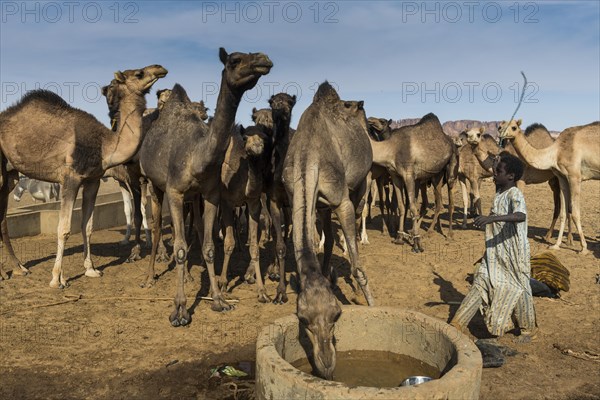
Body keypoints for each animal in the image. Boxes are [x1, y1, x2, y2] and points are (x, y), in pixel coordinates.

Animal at [0, 65, 166, 284]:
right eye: (139, 73)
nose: (160, 69)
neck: (105, 145)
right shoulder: (70, 178)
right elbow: (63, 229)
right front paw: (57, 278)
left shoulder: (92, 180)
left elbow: (87, 226)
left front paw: (91, 269)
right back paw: (7, 272)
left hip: (9, 176)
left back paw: (18, 268)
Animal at [138, 48, 272, 326]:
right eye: (235, 60)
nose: (263, 59)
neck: (197, 156)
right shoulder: (175, 193)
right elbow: (179, 247)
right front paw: (179, 310)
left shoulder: (210, 195)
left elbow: (210, 246)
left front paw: (219, 299)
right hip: (155, 185)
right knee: (156, 227)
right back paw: (149, 277)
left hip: (195, 197)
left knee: (198, 229)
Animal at [282, 82, 376, 382]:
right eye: (302, 319)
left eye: (337, 315)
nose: (326, 366)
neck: (307, 156)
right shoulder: (299, 198)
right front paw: (328, 278)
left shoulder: (341, 200)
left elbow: (358, 268)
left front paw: (373, 305)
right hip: (321, 205)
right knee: (331, 238)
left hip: (363, 180)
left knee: (359, 211)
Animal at [370, 113, 454, 250]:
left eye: (382, 121)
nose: (370, 119)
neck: (392, 149)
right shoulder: (395, 176)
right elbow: (401, 206)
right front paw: (399, 237)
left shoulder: (409, 175)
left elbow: (413, 207)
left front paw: (417, 242)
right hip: (430, 178)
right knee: (432, 203)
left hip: (446, 174)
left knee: (445, 202)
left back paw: (445, 234)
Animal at [496, 120, 600, 255]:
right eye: (499, 126)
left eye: (514, 127)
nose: (501, 133)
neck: (556, 151)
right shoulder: (562, 177)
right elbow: (564, 212)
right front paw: (556, 245)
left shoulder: (575, 177)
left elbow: (575, 213)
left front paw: (584, 248)